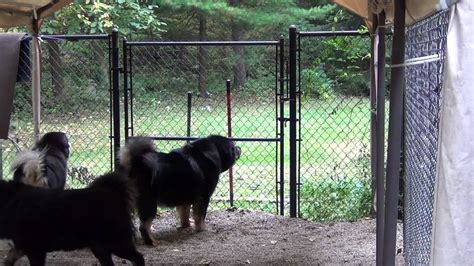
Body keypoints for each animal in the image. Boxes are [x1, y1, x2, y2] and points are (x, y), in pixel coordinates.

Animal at [0, 171, 143, 264]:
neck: (9, 201)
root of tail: (113, 192)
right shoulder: (22, 247)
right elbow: (8, 260)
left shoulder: (35, 250)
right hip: (100, 248)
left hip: (117, 243)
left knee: (138, 258)